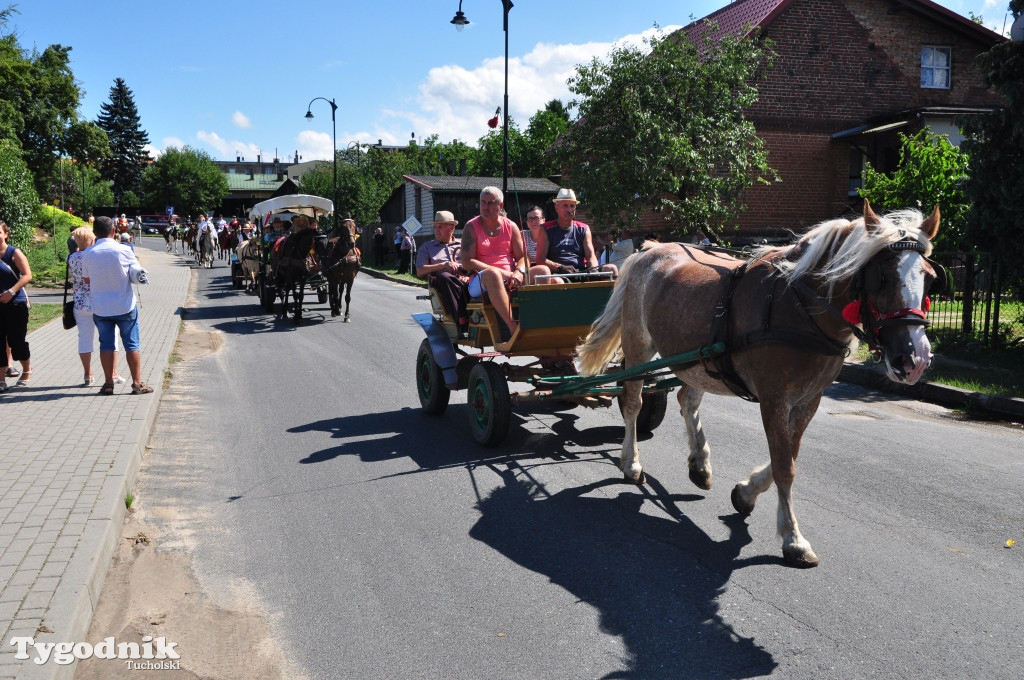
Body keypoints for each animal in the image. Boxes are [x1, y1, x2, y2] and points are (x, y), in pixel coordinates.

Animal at [577, 201, 942, 569]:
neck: (799, 307)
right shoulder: (774, 397)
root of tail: (649, 249)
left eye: (929, 277)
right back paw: (631, 462)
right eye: (881, 277)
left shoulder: (809, 399)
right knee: (633, 401)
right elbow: (784, 465)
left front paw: (746, 492)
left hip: (699, 359)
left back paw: (700, 463)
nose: (915, 358)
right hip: (639, 345)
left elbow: (789, 454)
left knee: (686, 399)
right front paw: (793, 538)